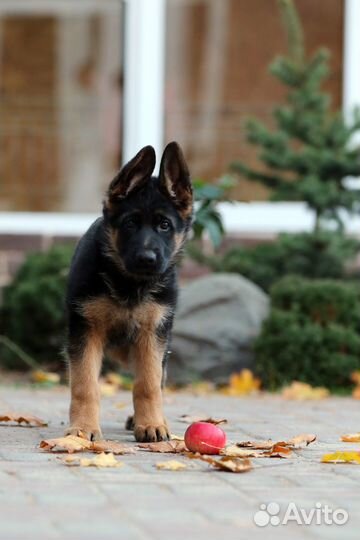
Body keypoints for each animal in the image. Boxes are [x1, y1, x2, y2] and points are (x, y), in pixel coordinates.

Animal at [65, 143, 193, 442]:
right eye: (130, 224)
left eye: (164, 225)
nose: (147, 259)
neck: (129, 285)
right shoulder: (85, 332)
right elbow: (85, 384)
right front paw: (83, 428)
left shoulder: (152, 334)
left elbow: (149, 383)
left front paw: (151, 424)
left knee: (158, 377)